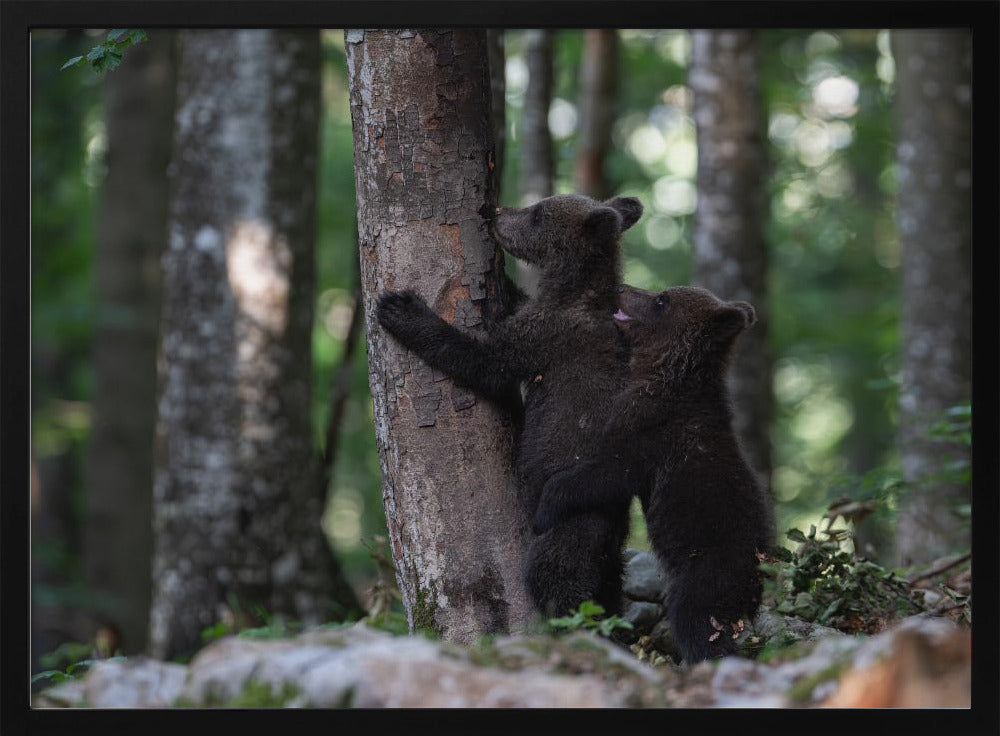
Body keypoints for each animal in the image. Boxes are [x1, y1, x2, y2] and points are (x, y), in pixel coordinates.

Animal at [376, 193, 644, 618]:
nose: (497, 212)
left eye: (538, 214)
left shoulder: (546, 337)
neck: (573, 291)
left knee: (558, 577)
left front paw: (402, 308)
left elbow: (486, 361)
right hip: (611, 549)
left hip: (569, 520)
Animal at [531, 284, 775, 663]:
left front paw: (546, 506)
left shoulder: (650, 433)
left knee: (695, 619)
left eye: (662, 299)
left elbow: (605, 474)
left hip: (709, 569)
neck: (664, 375)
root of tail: (757, 579)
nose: (622, 288)